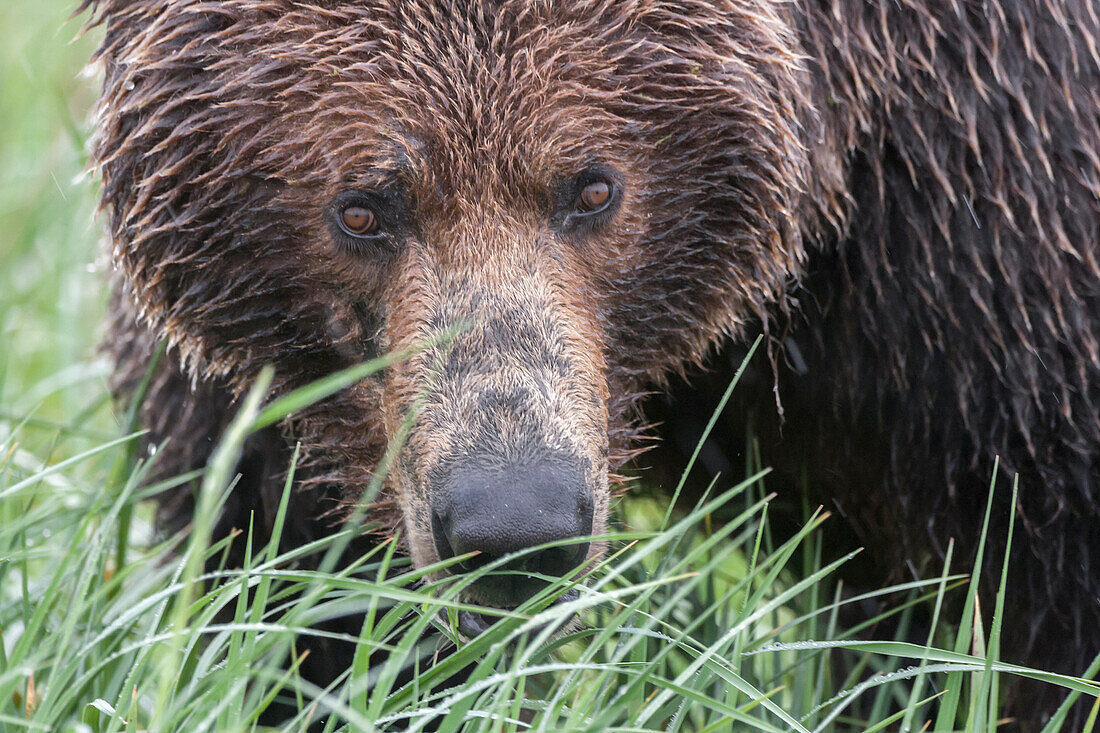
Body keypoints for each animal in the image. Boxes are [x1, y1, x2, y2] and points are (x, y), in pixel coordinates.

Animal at [83, 0, 1100, 721]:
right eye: (363, 207)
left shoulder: (984, 274)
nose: (515, 521)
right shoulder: (273, 410)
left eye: (594, 187)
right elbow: (295, 594)